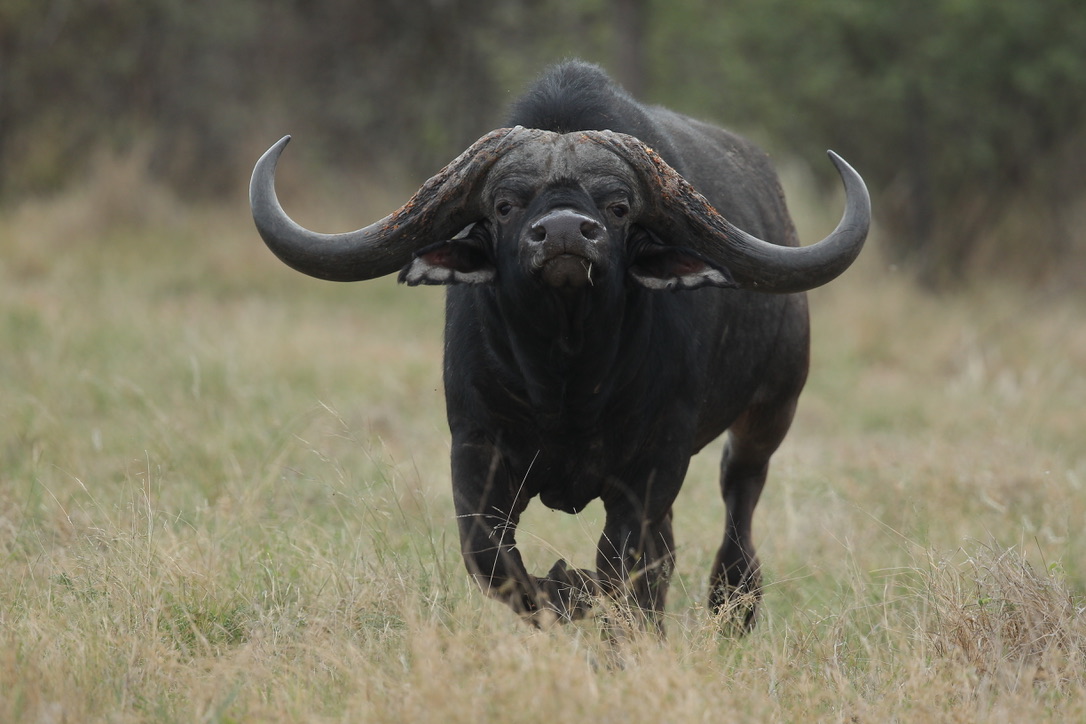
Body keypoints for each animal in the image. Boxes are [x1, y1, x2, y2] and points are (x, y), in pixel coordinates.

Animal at [250, 61, 870, 631]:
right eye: (505, 204)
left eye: (618, 206)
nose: (567, 232)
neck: (567, 377)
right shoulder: (476, 448)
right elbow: (492, 558)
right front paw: (563, 590)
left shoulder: (654, 462)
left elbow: (622, 564)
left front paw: (586, 595)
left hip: (771, 410)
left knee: (738, 497)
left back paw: (730, 605)